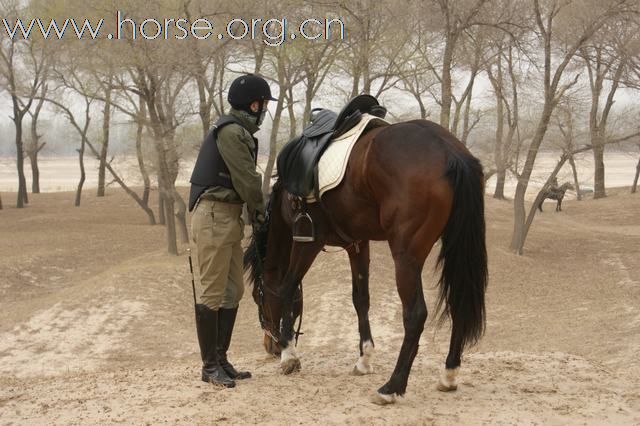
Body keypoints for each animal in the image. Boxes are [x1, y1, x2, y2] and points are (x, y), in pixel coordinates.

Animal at [242, 118, 488, 404]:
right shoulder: (357, 245)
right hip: (456, 245)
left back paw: (391, 386)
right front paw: (364, 359)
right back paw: (449, 374)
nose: (269, 345)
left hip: (406, 257)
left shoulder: (307, 241)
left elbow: (287, 288)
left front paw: (289, 355)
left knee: (415, 314)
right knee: (458, 303)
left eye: (257, 298)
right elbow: (361, 299)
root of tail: (450, 151)